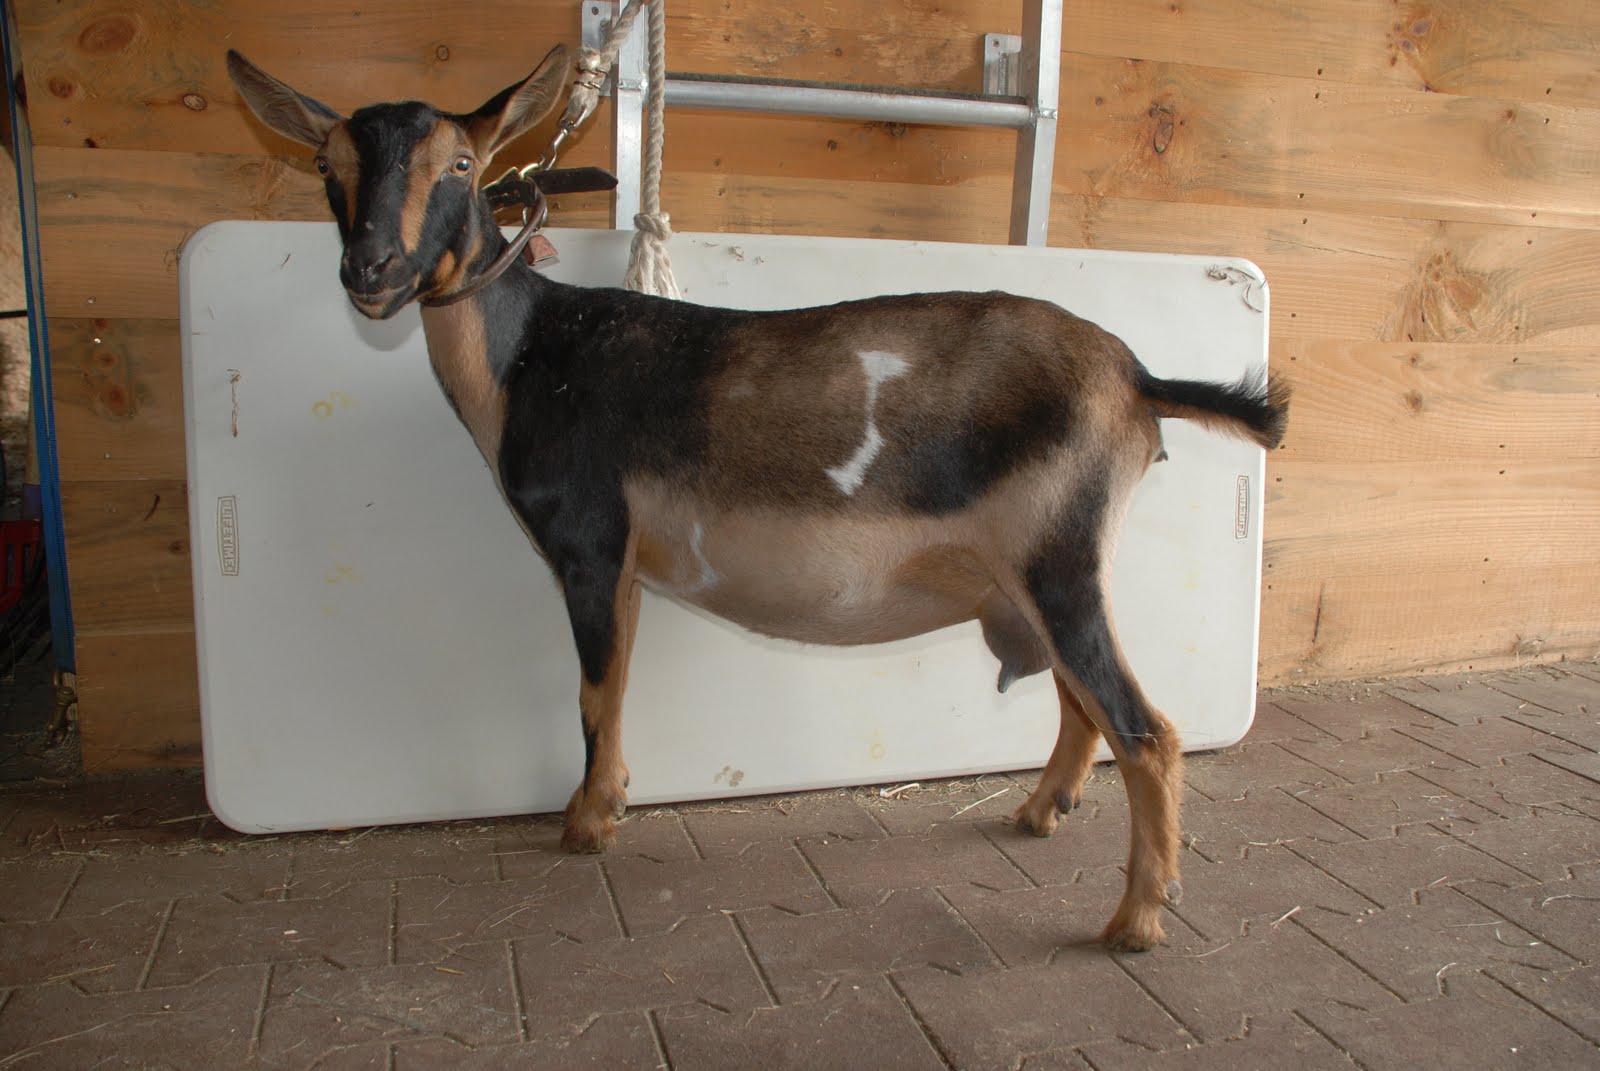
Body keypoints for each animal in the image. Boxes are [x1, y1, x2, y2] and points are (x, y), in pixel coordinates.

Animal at [227, 43, 1288, 952]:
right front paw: (610, 802)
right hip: (1039, 577)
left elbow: (593, 688)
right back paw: (1039, 814)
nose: (370, 271)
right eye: (326, 160)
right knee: (1083, 702)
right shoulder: (624, 567)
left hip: (1059, 558)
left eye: (457, 162)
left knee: (1146, 728)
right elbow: (614, 684)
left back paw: (1137, 920)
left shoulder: (589, 544)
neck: (532, 351)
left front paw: (584, 823)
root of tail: (1137, 379)